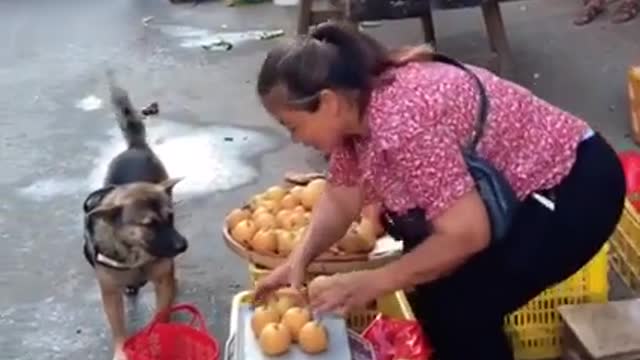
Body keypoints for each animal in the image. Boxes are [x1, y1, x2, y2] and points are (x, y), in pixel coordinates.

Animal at [83, 74, 188, 360]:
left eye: (170, 217)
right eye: (149, 224)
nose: (183, 245)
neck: (135, 251)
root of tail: (136, 147)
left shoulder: (163, 280)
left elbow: (162, 313)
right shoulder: (110, 293)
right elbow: (118, 327)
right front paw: (122, 350)